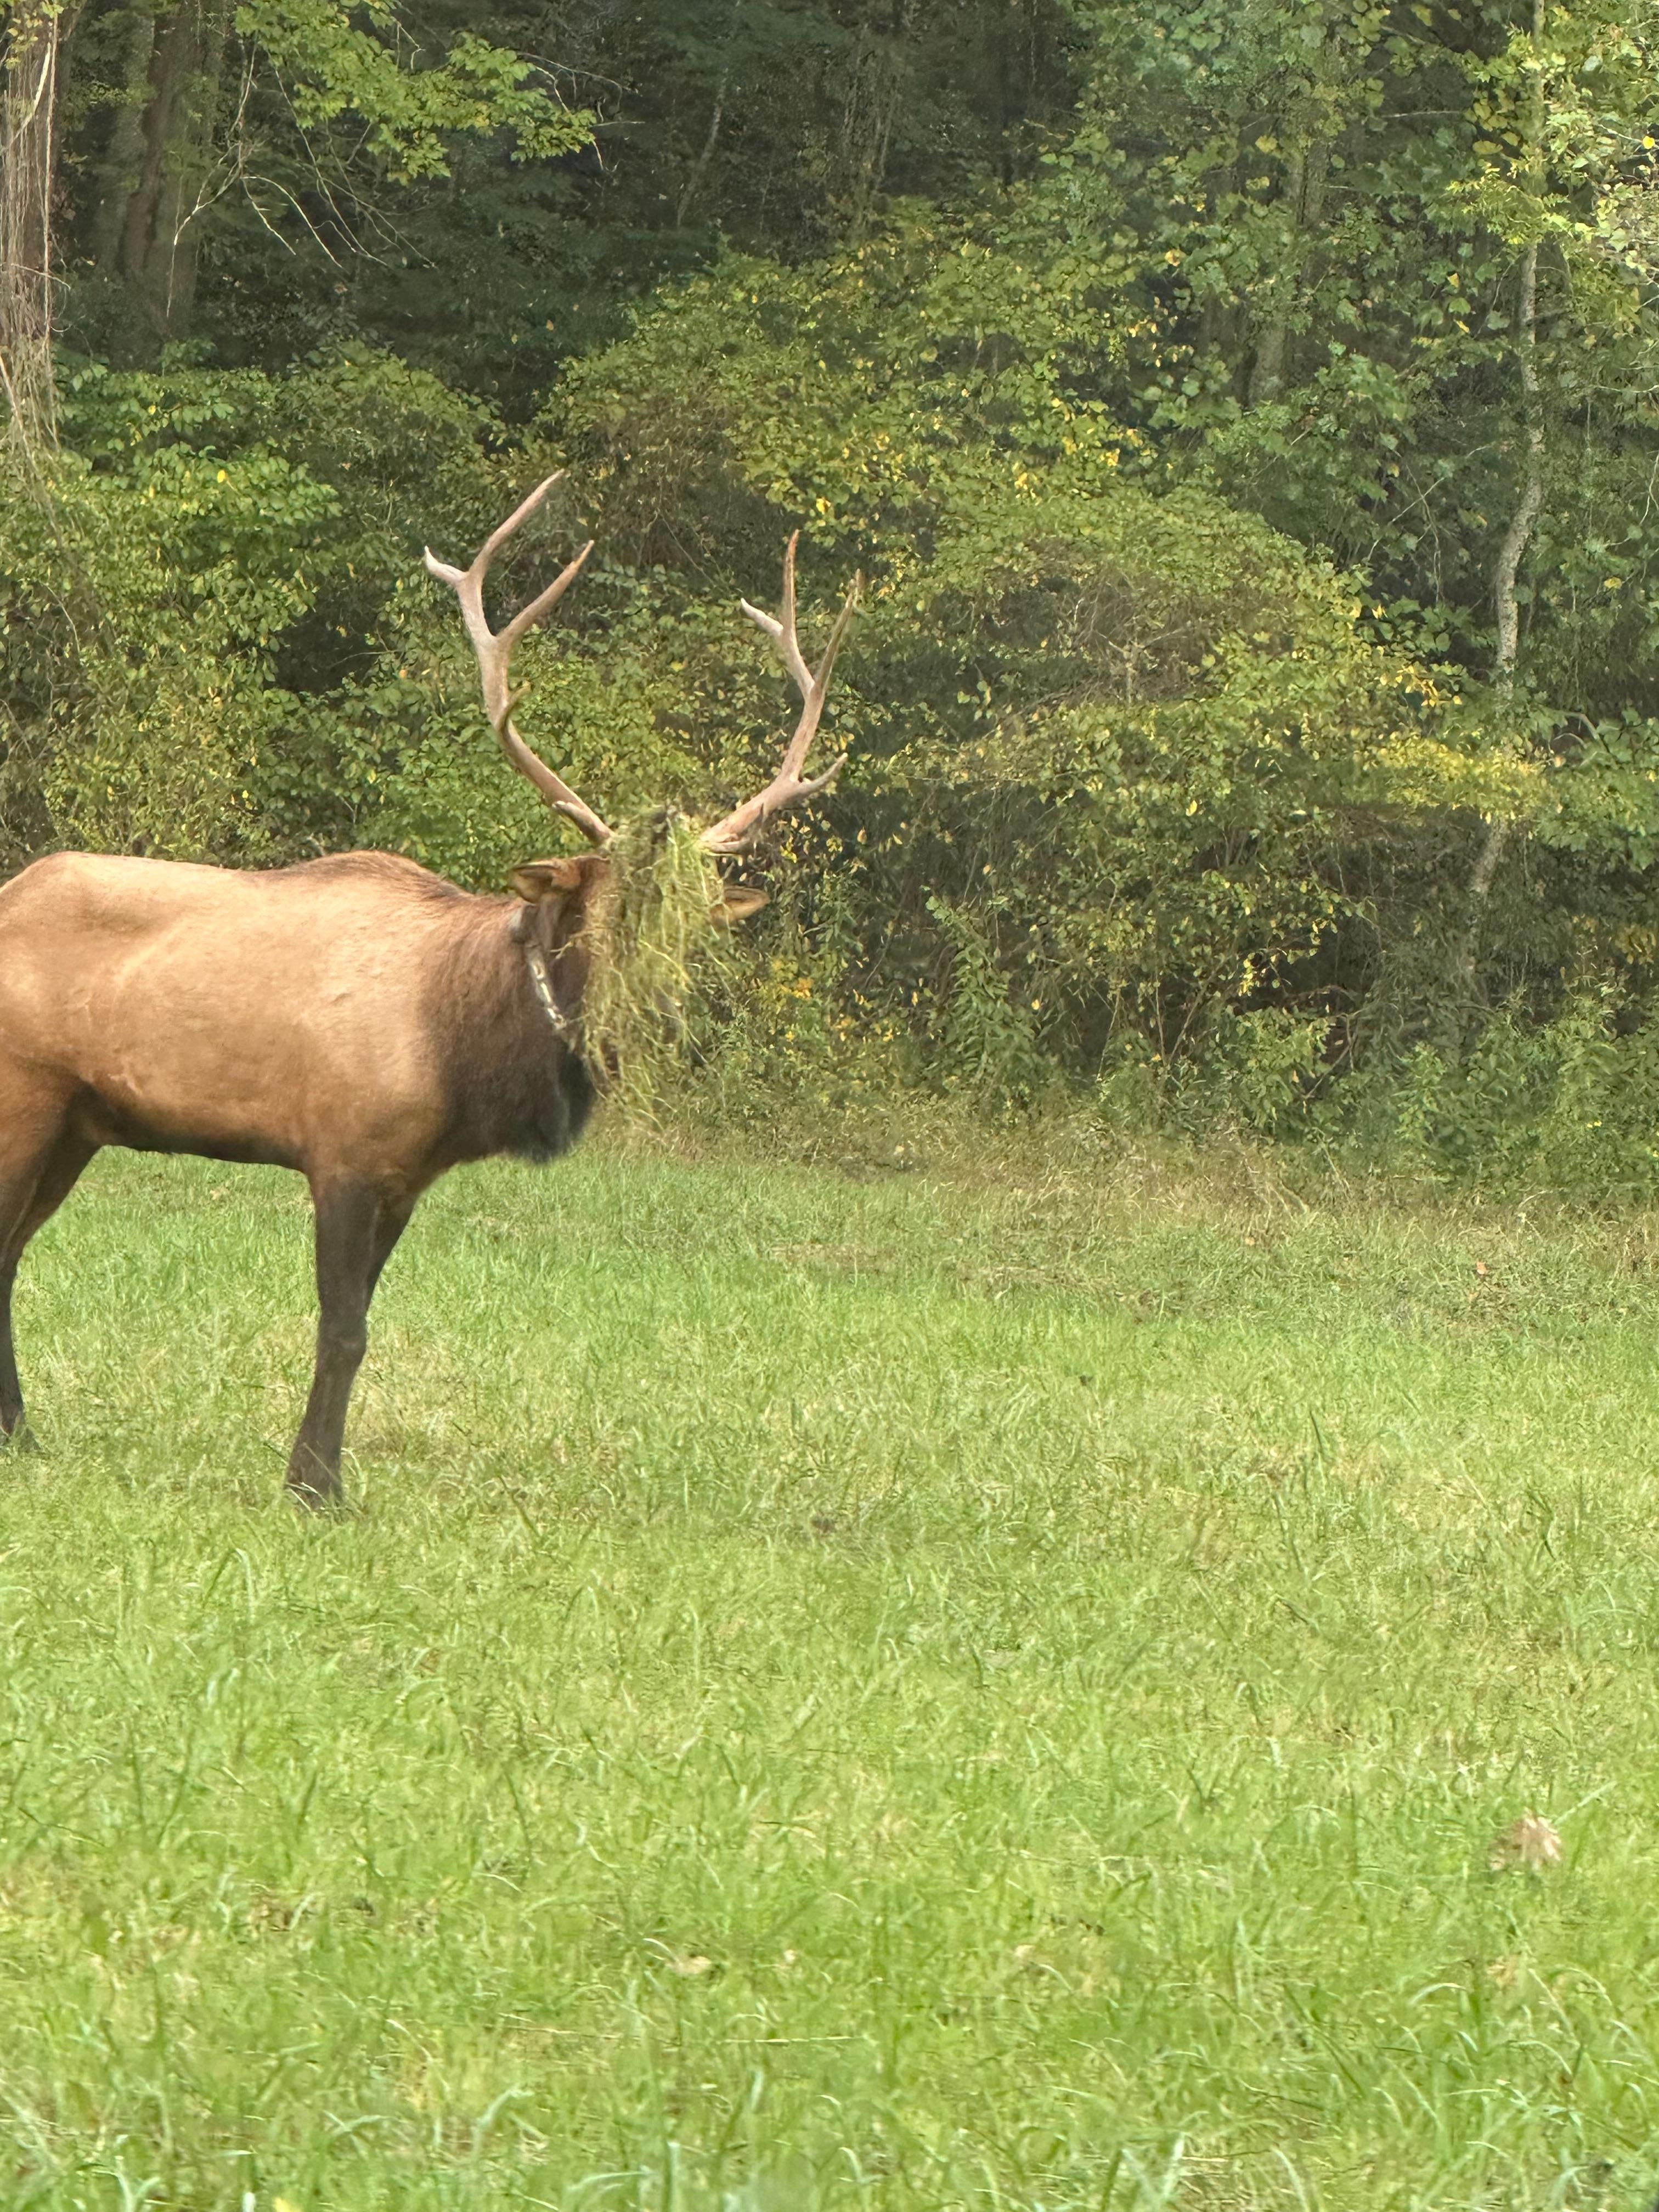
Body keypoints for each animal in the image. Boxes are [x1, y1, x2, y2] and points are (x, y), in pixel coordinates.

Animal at [0, 474, 857, 1505]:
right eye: (599, 915)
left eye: (690, 926)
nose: (653, 1021)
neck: (463, 1057)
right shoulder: (341, 1152)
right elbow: (343, 1330)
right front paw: (316, 1488)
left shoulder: (408, 1180)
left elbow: (360, 1330)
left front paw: (315, 1473)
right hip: (26, 1097)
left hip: (79, 1124)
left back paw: (22, 1435)